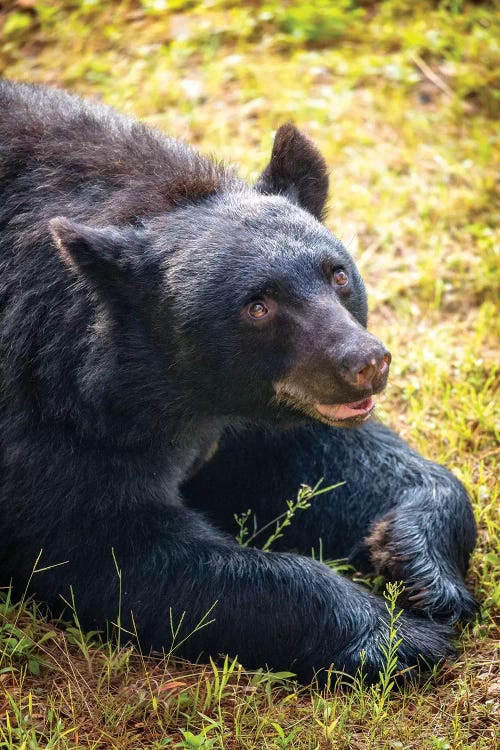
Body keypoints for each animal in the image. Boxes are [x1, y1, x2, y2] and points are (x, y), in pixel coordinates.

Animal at [0, 81, 476, 688]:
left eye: (338, 274)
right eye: (257, 306)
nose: (367, 362)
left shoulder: (258, 410)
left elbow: (329, 459)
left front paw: (418, 564)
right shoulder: (51, 409)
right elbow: (100, 543)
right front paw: (398, 636)